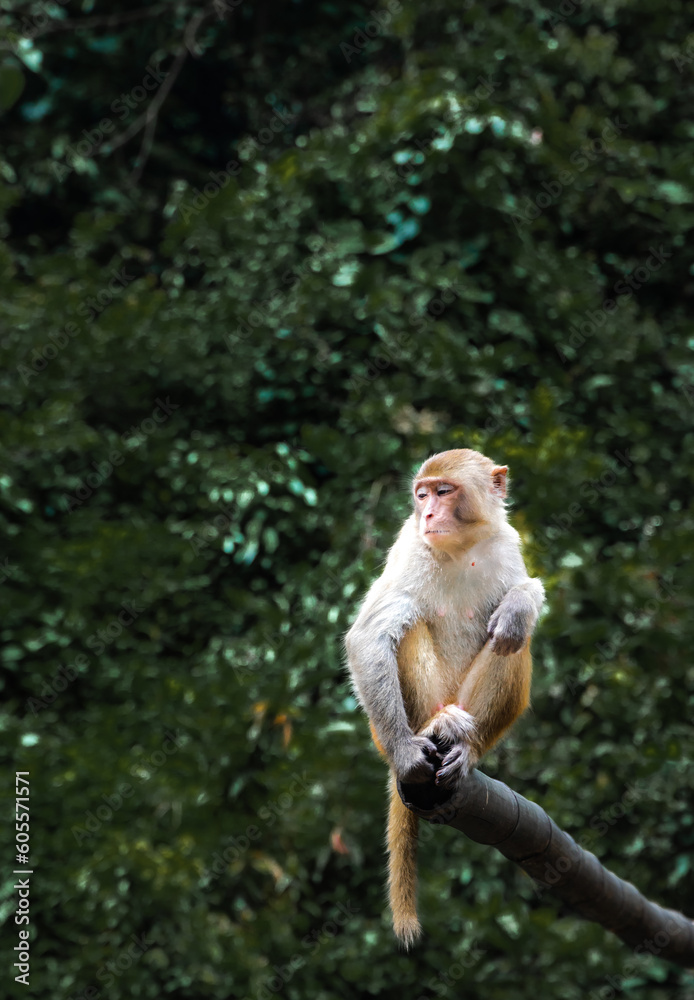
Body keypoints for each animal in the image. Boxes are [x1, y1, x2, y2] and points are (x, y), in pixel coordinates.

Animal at [345, 448, 544, 949]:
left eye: (444, 491)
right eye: (422, 495)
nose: (429, 513)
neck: (460, 547)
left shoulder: (506, 541)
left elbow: (524, 591)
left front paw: (520, 603)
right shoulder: (408, 546)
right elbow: (368, 637)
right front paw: (404, 751)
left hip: (469, 702)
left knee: (513, 640)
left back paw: (467, 746)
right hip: (406, 716)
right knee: (406, 623)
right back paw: (434, 730)